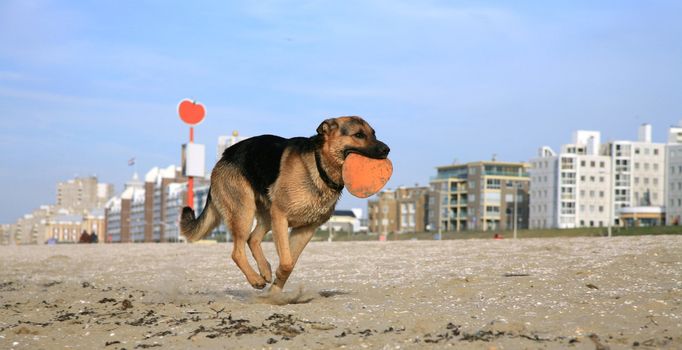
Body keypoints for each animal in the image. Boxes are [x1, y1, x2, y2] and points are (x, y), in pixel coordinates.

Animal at [179, 116, 388, 292]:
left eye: (374, 133)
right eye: (359, 135)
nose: (387, 150)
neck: (319, 165)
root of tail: (224, 156)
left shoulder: (305, 229)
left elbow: (290, 262)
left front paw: (275, 290)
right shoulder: (281, 216)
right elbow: (287, 262)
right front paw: (278, 278)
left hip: (265, 215)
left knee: (252, 239)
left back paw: (265, 270)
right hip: (244, 212)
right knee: (237, 251)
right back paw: (255, 279)